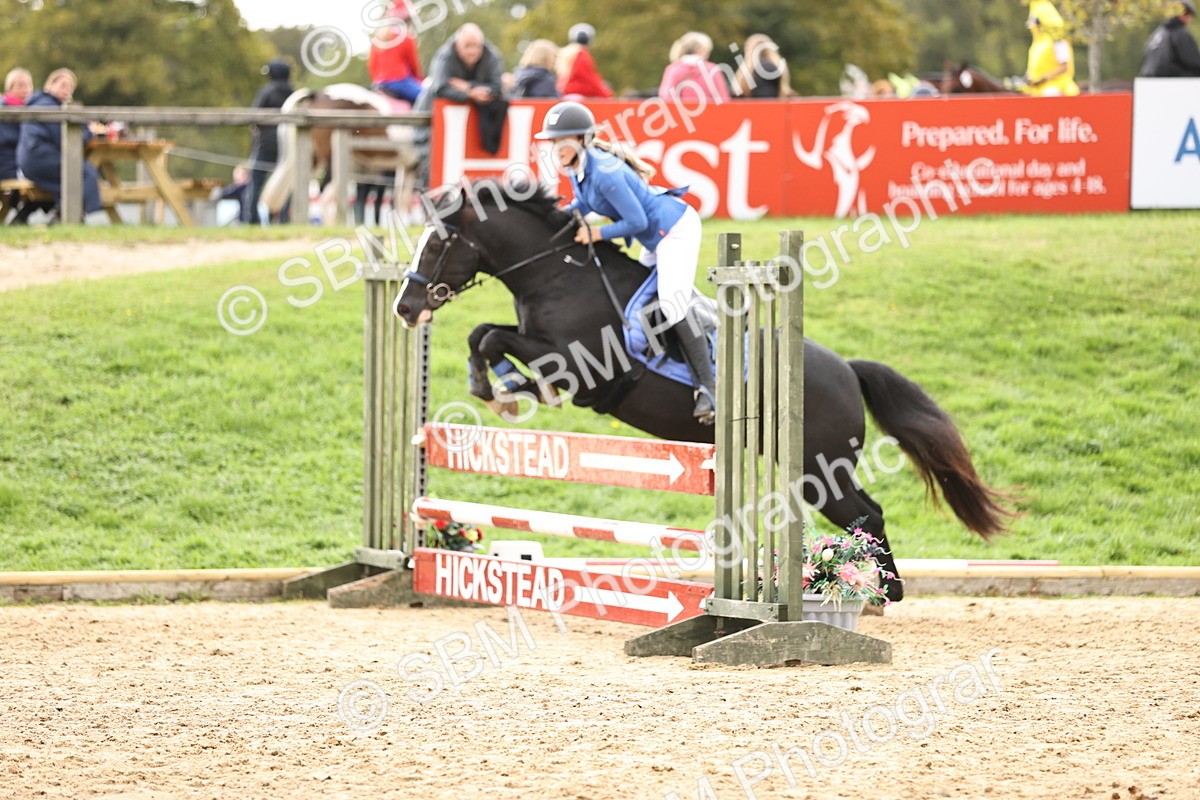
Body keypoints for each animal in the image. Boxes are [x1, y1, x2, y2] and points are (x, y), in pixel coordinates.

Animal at [260, 84, 420, 224]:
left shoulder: (408, 167)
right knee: (324, 195)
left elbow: (401, 198)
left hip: (313, 159)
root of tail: (317, 94)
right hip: (334, 162)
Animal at [392, 180, 1014, 601]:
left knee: (868, 514)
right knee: (863, 515)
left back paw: (883, 592)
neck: (556, 273)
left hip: (822, 468)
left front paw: (500, 387)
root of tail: (847, 369)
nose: (405, 307)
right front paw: (504, 387)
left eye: (438, 244)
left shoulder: (583, 367)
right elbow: (485, 333)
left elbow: (493, 336)